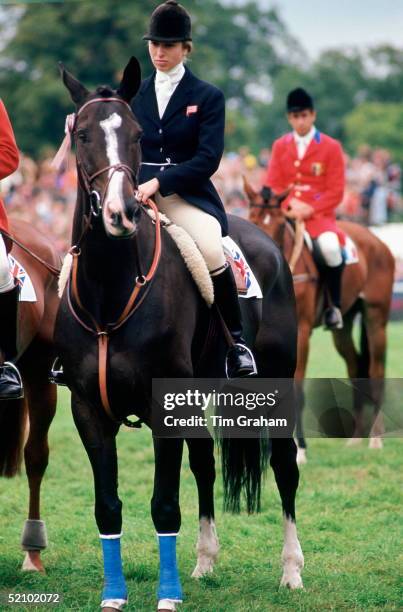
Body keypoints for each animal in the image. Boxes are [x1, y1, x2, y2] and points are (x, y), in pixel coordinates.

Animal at [55, 58, 304, 612]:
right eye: (81, 135)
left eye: (137, 135)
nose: (122, 213)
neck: (110, 288)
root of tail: (266, 239)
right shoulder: (87, 410)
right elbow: (107, 507)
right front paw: (114, 596)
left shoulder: (162, 407)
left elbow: (165, 504)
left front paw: (167, 598)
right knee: (206, 463)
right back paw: (205, 562)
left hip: (275, 385)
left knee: (283, 466)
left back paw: (292, 570)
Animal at [245, 179, 396, 462]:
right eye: (253, 219)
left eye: (280, 224)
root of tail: (376, 240)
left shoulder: (301, 333)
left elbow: (296, 387)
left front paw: (299, 449)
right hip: (343, 327)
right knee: (354, 367)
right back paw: (356, 438)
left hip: (376, 318)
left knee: (376, 371)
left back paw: (375, 438)